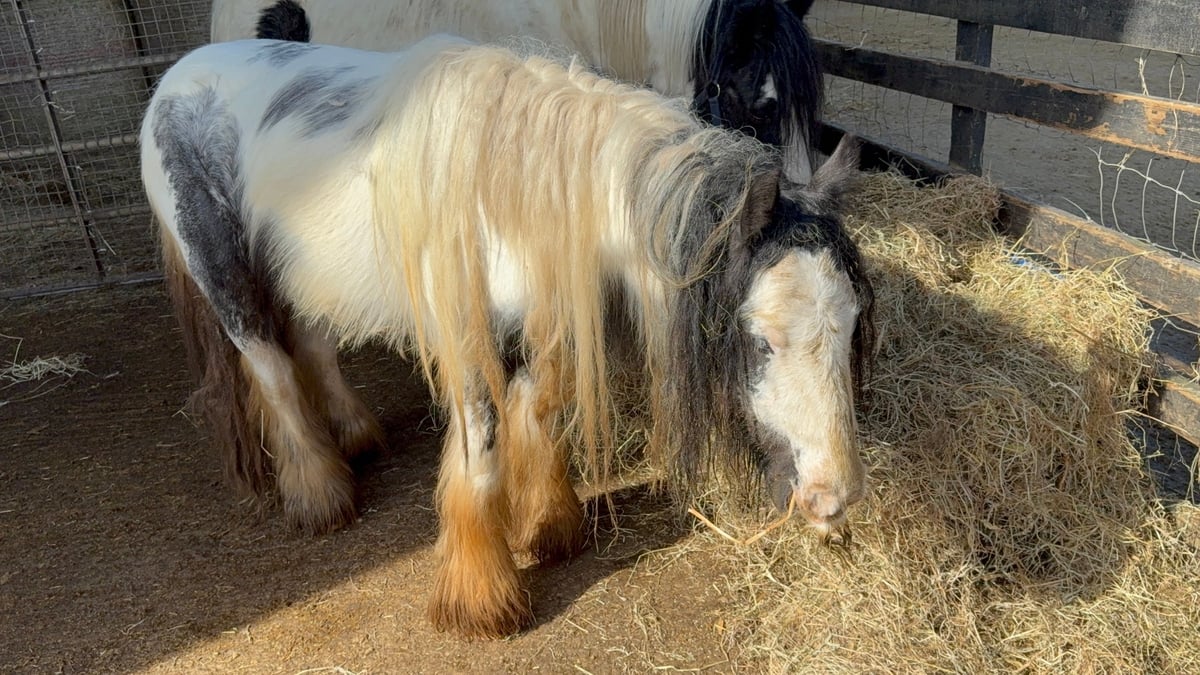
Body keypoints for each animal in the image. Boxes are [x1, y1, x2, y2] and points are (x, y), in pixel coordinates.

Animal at [140, 36, 873, 639]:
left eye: (852, 326)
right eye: (761, 340)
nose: (833, 499)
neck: (524, 185)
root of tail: (172, 84)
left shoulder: (542, 328)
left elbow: (541, 412)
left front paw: (549, 525)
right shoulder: (469, 347)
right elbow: (483, 450)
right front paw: (479, 600)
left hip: (307, 278)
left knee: (314, 347)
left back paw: (355, 436)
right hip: (224, 276)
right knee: (271, 370)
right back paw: (320, 494)